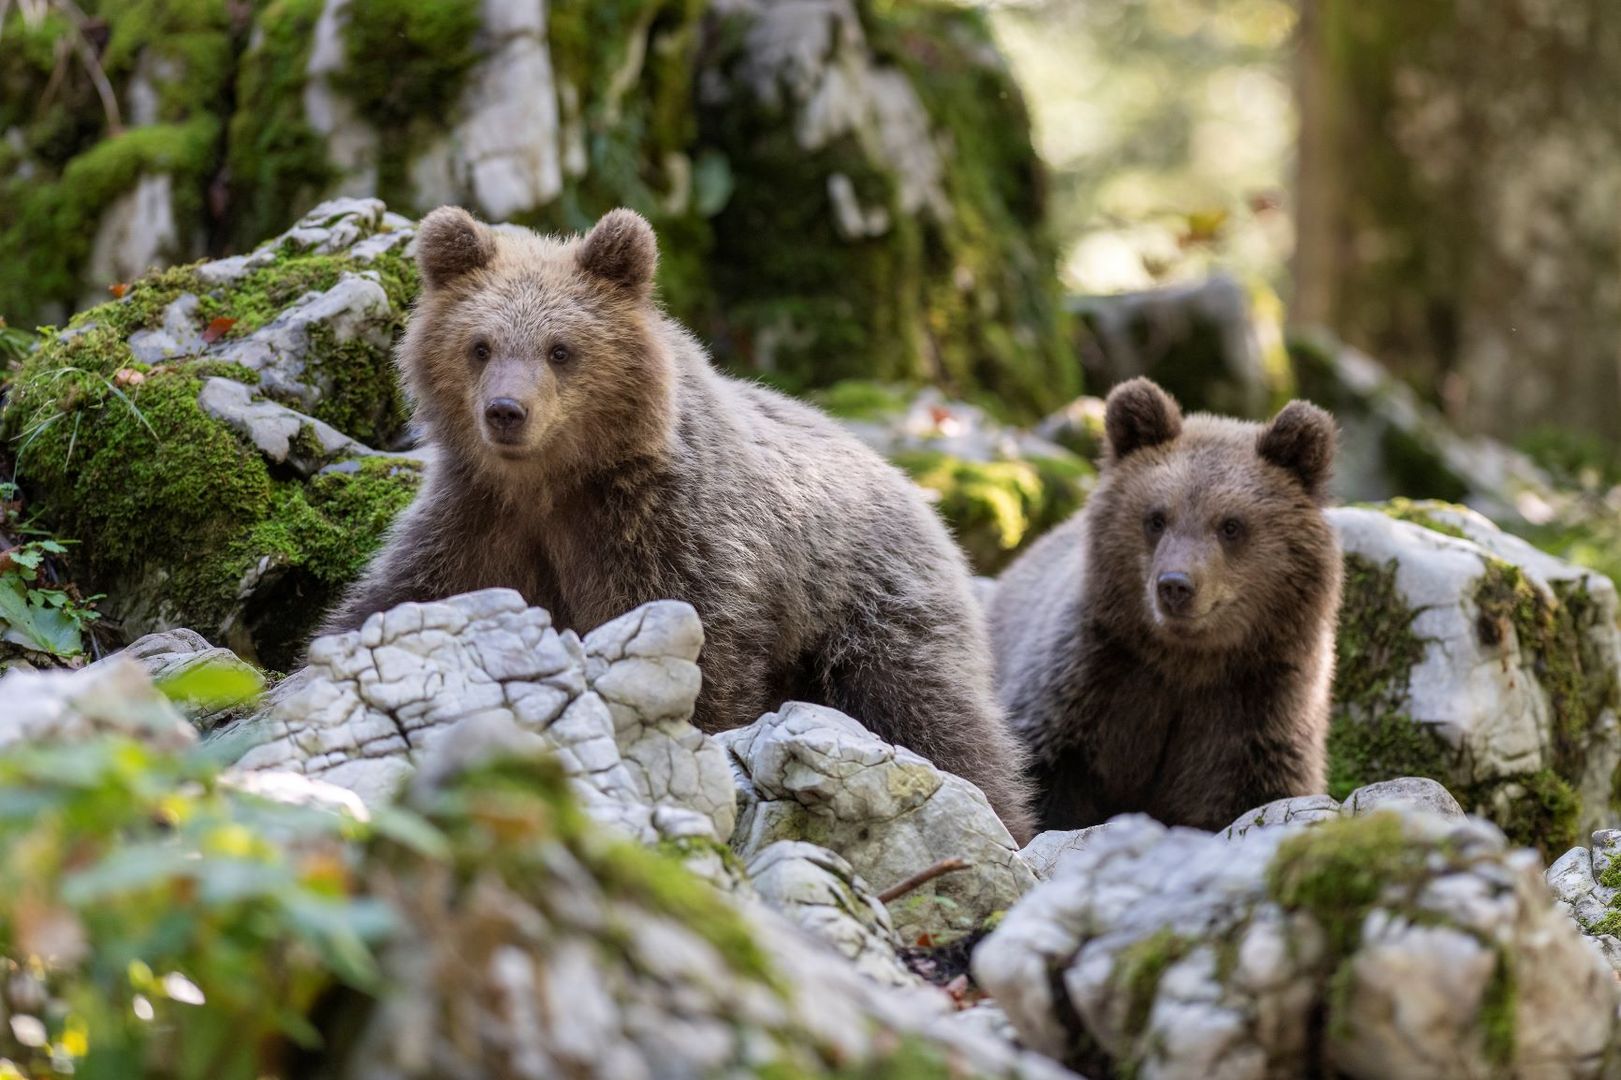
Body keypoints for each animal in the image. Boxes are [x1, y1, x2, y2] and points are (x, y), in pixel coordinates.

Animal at [322, 205, 1030, 836]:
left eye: (561, 349)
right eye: (479, 345)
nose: (505, 410)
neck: (557, 484)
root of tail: (916, 492)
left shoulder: (667, 530)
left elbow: (699, 653)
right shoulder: (479, 522)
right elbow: (398, 599)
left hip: (875, 610)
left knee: (933, 715)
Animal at [985, 377, 1342, 830]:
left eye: (1231, 525)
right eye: (1156, 518)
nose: (1175, 585)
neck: (1185, 662)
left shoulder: (1256, 717)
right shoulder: (1085, 691)